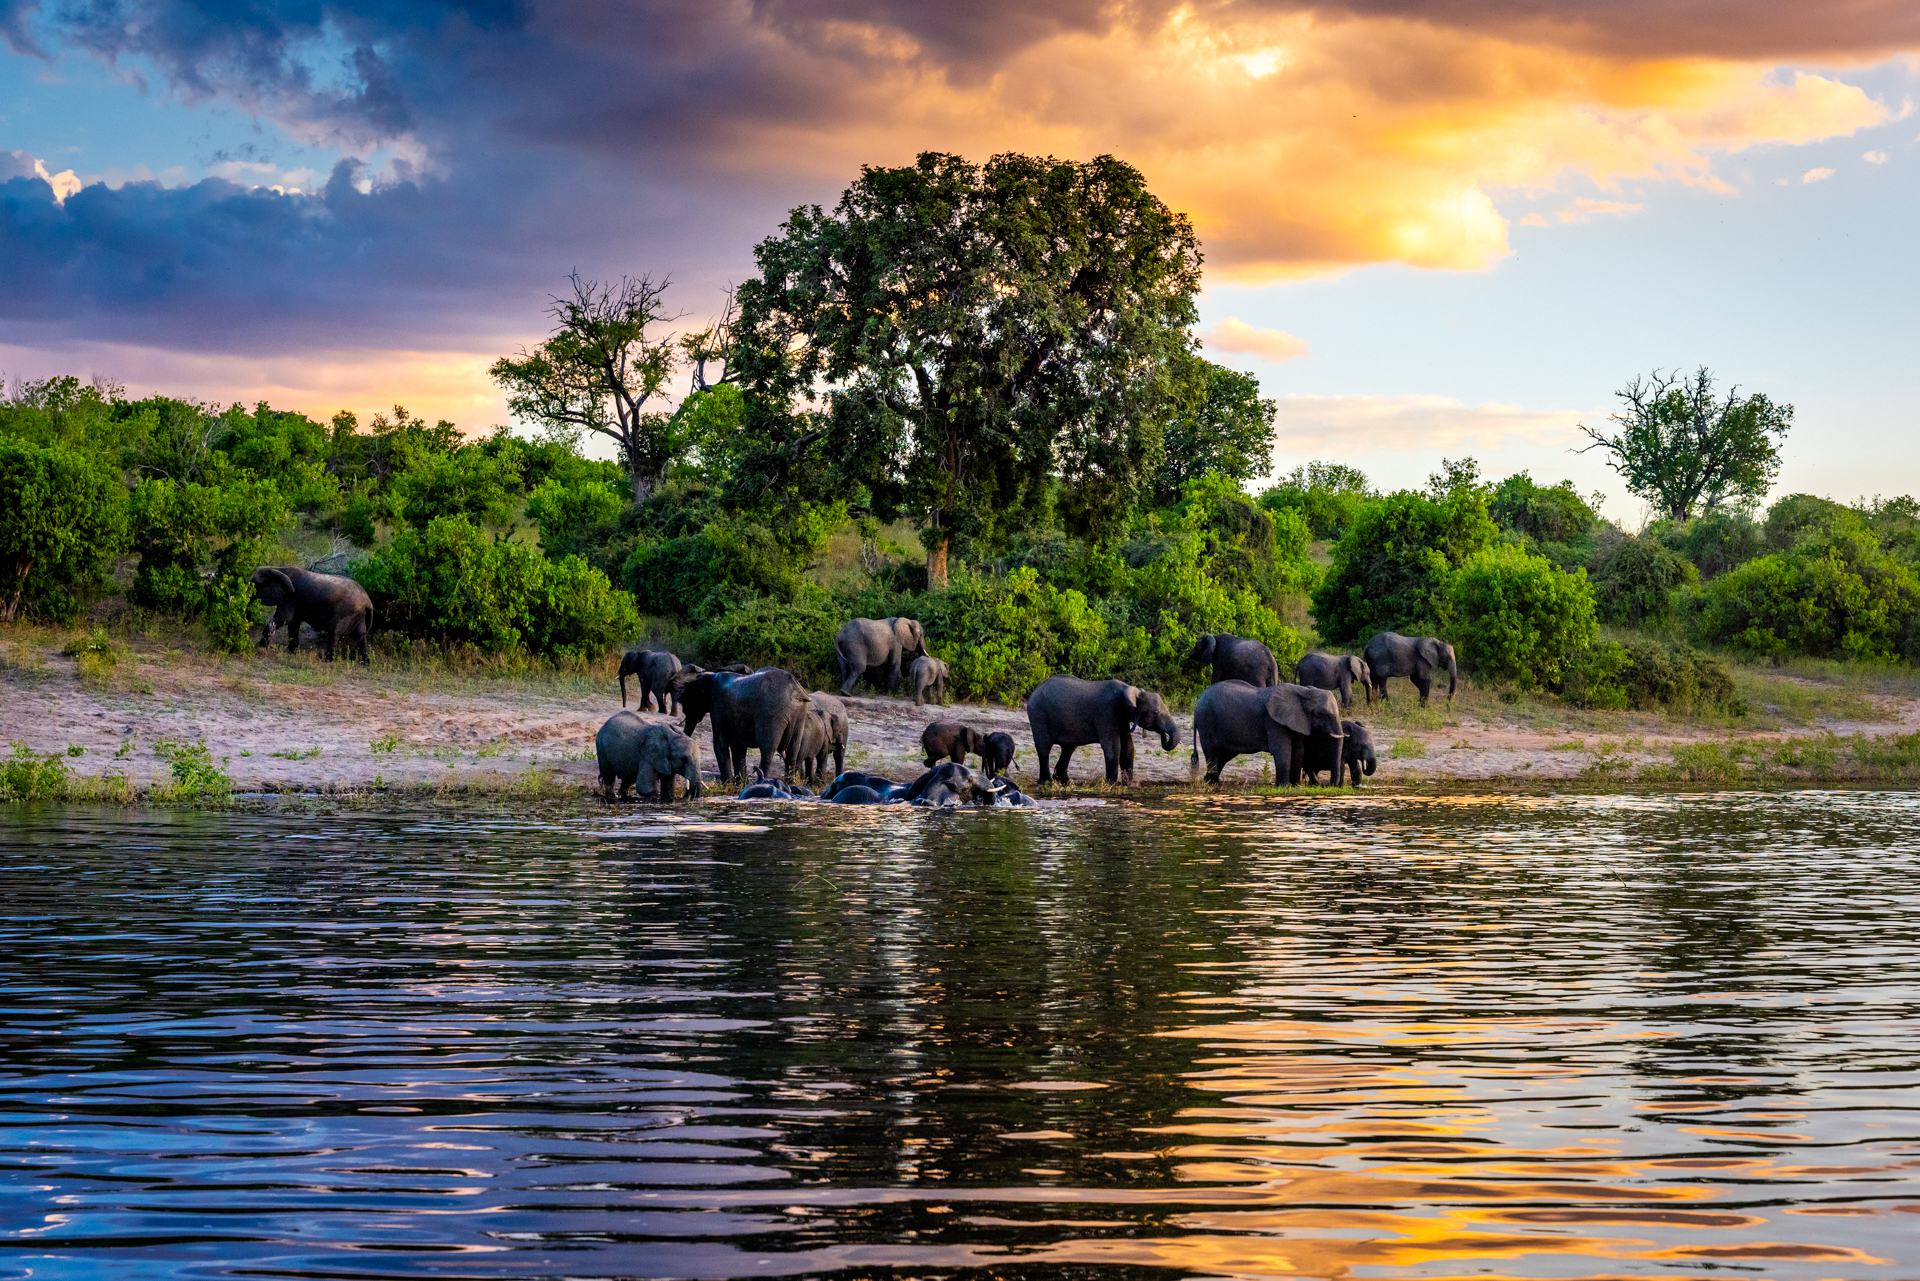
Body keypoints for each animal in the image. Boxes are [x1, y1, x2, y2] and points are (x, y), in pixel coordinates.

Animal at [678, 667, 814, 783]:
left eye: (688, 700)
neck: (710, 676)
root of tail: (797, 689)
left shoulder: (717, 707)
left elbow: (720, 745)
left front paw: (727, 785)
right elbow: (738, 749)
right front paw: (739, 785)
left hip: (772, 714)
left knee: (767, 750)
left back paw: (761, 782)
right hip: (800, 714)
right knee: (793, 752)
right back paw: (791, 785)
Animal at [1026, 675, 1180, 786]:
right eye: (1155, 713)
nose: (1163, 735)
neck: (1129, 691)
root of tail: (1035, 691)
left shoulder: (1122, 719)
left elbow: (1128, 749)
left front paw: (1127, 784)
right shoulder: (1106, 713)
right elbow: (1112, 748)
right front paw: (1111, 784)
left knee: (1068, 749)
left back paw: (1065, 782)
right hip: (1038, 715)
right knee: (1044, 748)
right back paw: (1046, 783)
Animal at [1191, 680, 1345, 786]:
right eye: (1322, 714)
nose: (1330, 785)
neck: (1304, 692)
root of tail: (1198, 699)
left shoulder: (1297, 721)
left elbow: (1298, 751)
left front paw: (1295, 786)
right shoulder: (1274, 721)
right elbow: (1283, 750)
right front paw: (1283, 787)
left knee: (1224, 755)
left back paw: (1211, 780)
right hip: (1206, 719)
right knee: (1212, 751)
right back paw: (1211, 782)